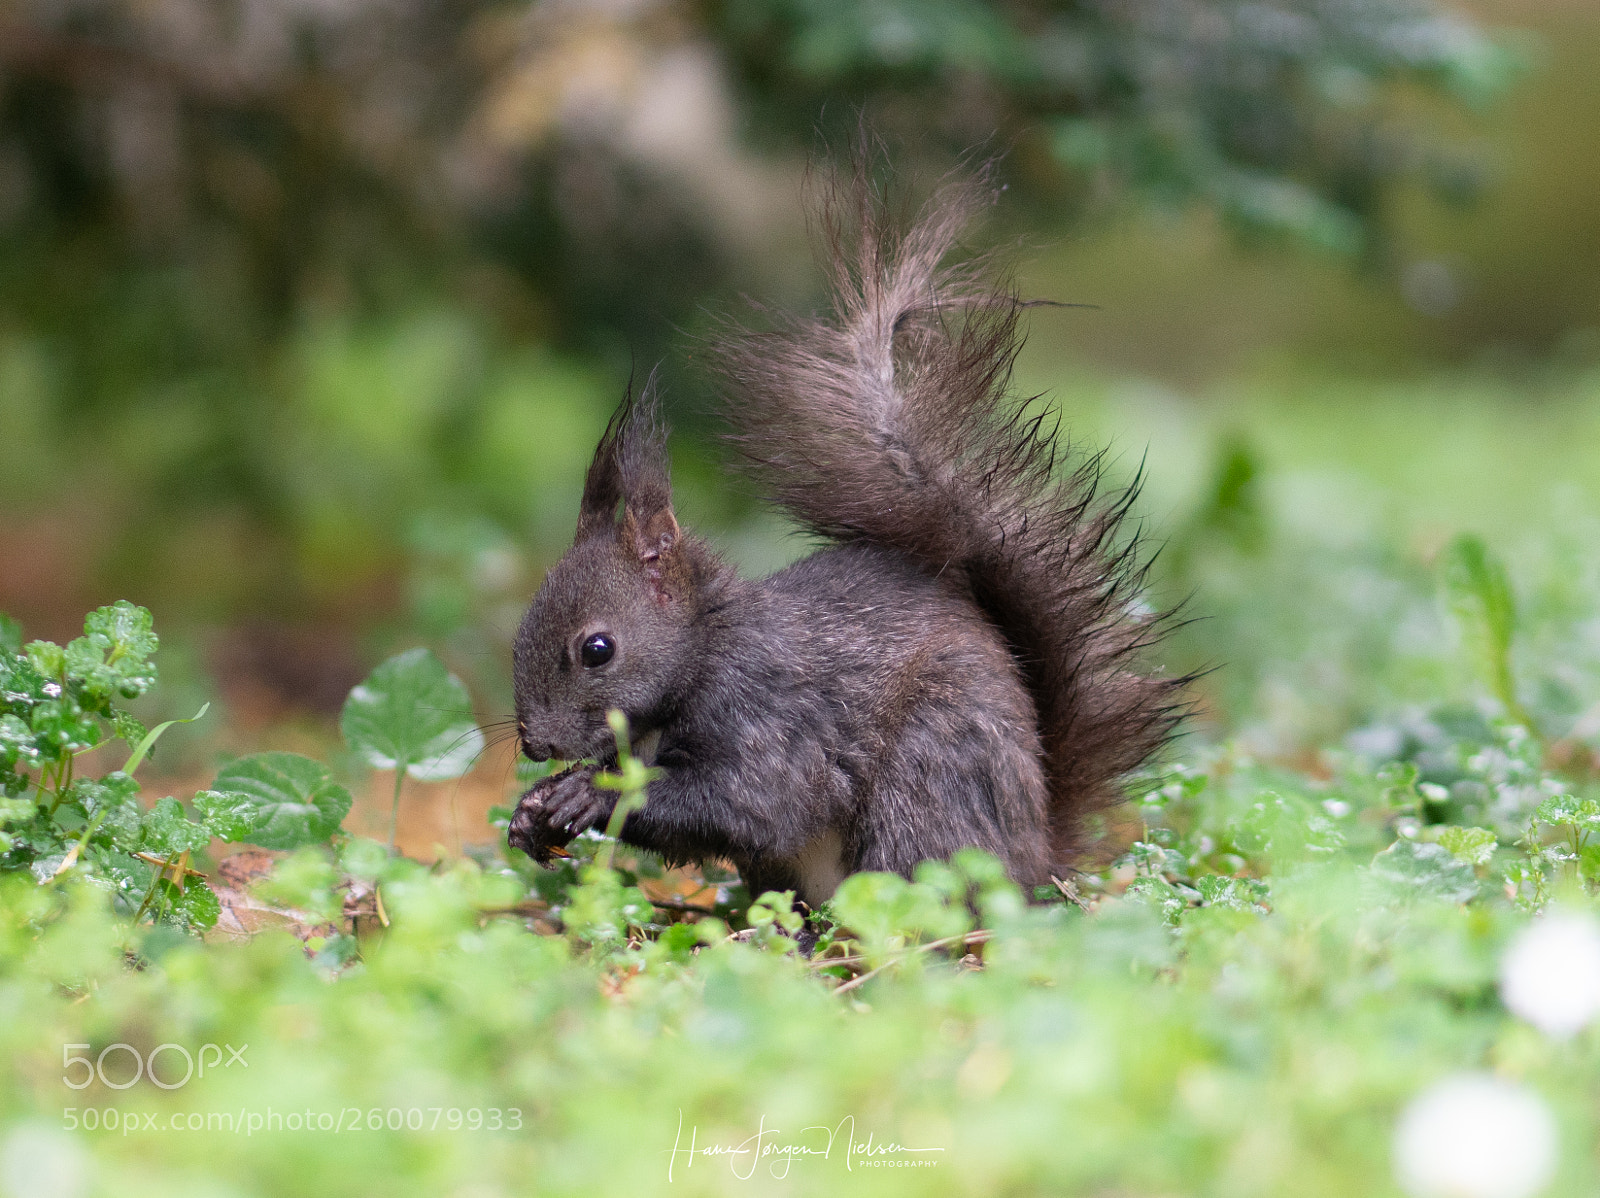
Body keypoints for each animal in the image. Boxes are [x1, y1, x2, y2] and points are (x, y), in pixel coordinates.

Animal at [506, 153, 1187, 906]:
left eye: (597, 649)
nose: (534, 745)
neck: (705, 649)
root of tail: (1036, 861)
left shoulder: (769, 713)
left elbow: (754, 801)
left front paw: (587, 797)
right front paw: (535, 809)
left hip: (927, 775)